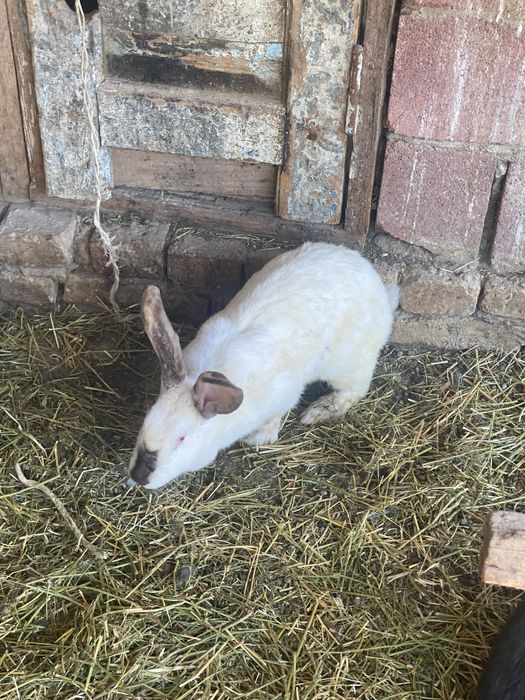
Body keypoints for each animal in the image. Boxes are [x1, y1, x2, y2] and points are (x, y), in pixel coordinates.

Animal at [128, 241, 399, 489]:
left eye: (181, 439)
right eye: (146, 420)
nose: (138, 476)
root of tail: (381, 293)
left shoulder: (285, 394)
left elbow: (276, 417)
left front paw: (258, 438)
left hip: (347, 365)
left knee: (355, 390)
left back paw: (318, 411)